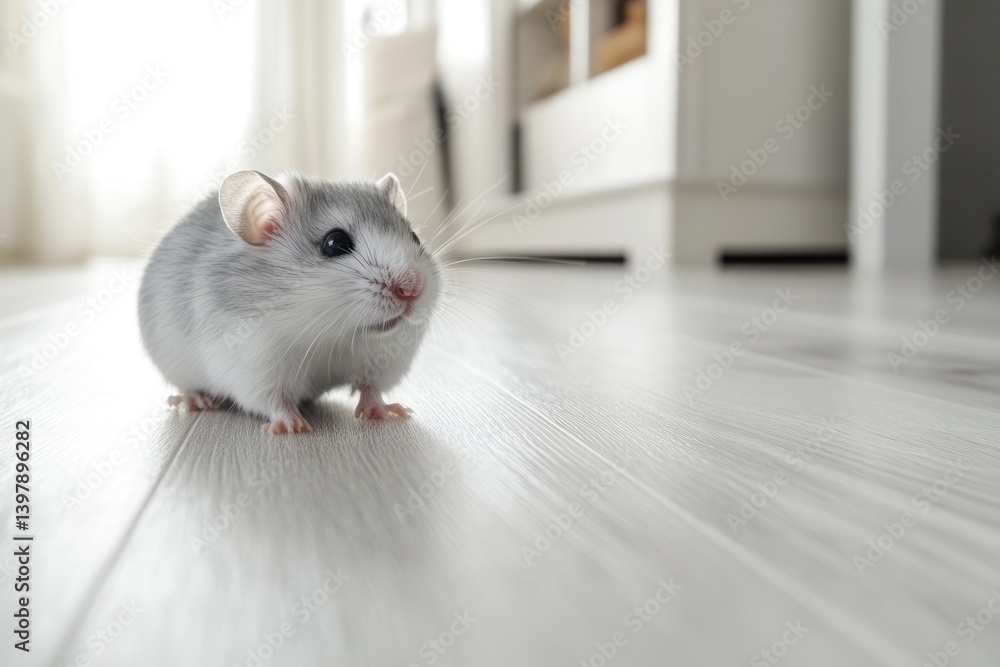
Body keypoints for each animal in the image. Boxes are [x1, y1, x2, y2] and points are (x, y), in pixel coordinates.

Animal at [138, 170, 440, 434]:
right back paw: (193, 401)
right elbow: (275, 401)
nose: (412, 289)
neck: (332, 333)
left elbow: (371, 388)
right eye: (335, 243)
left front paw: (387, 412)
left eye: (415, 237)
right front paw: (292, 428)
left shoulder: (384, 359)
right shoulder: (253, 365)